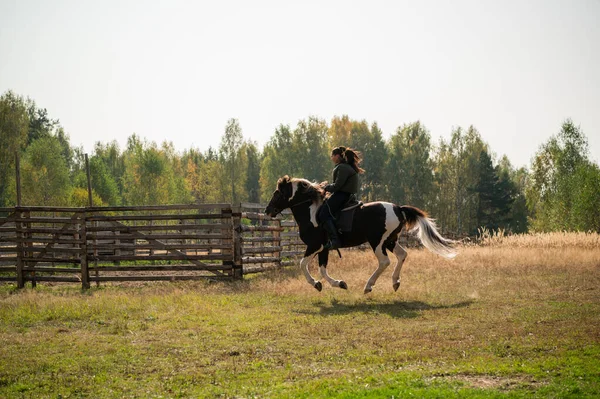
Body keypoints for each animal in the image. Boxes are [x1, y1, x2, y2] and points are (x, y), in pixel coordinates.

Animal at [264, 177, 458, 296]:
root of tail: (398, 208)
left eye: (278, 193)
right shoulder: (324, 248)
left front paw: (316, 284)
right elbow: (323, 269)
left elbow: (303, 264)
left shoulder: (314, 246)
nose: (268, 211)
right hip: (390, 241)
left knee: (384, 262)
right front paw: (339, 283)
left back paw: (368, 286)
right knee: (402, 255)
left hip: (377, 242)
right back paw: (395, 282)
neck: (312, 212)